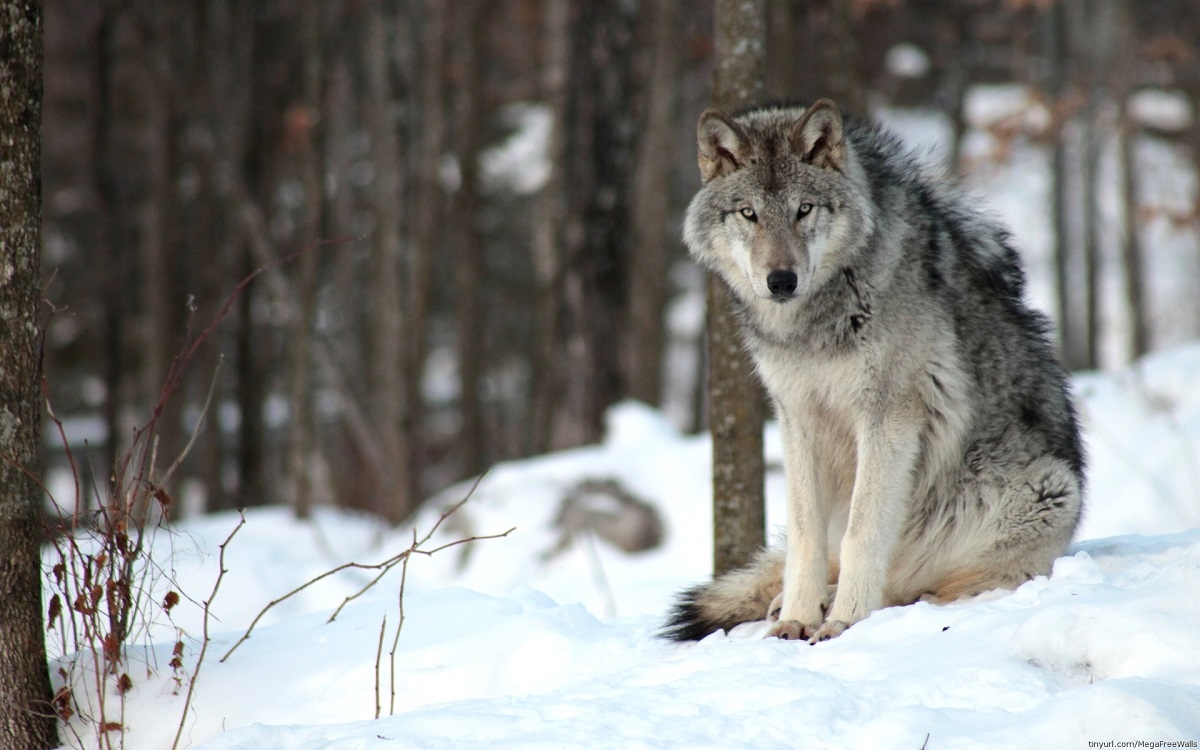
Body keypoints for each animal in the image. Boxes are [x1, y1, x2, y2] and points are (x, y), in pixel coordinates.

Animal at [667, 96, 1089, 638]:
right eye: (749, 214)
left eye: (804, 210)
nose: (781, 280)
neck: (815, 327)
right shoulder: (797, 418)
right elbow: (804, 535)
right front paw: (797, 618)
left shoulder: (888, 417)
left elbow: (862, 532)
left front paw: (843, 622)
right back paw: (791, 602)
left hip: (1048, 491)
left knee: (916, 585)